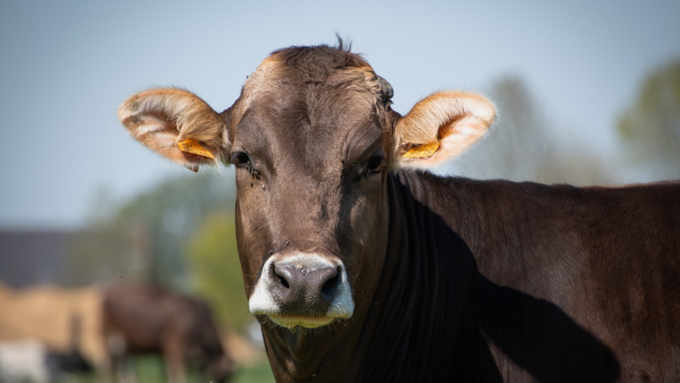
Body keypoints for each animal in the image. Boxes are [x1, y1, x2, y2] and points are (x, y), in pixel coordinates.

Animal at [101, 282, 234, 383]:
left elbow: (168, 372)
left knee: (124, 370)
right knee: (109, 367)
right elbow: (176, 372)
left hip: (123, 347)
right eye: (225, 375)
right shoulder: (174, 344)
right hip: (112, 340)